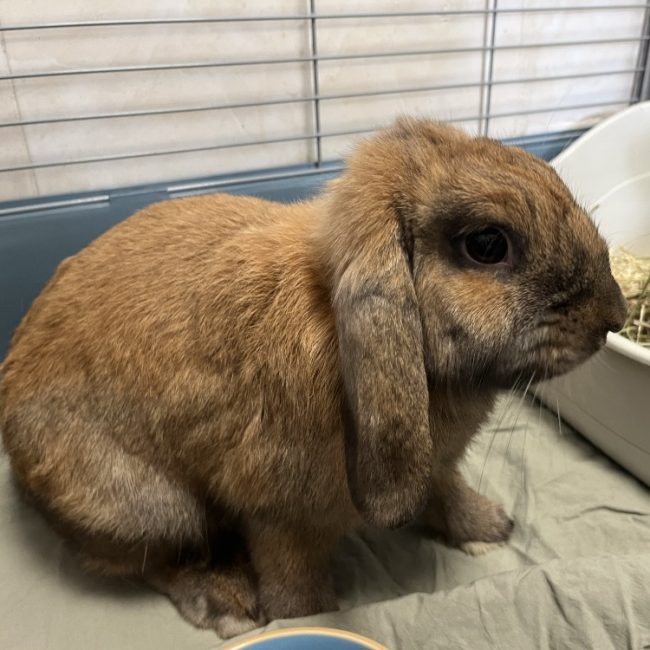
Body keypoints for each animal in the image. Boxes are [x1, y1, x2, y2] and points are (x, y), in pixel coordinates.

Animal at [0, 118, 627, 638]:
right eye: (488, 244)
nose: (614, 315)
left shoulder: (435, 466)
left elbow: (446, 489)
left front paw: (489, 528)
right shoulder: (280, 519)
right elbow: (293, 583)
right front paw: (305, 616)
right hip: (155, 509)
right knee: (143, 561)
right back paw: (227, 602)